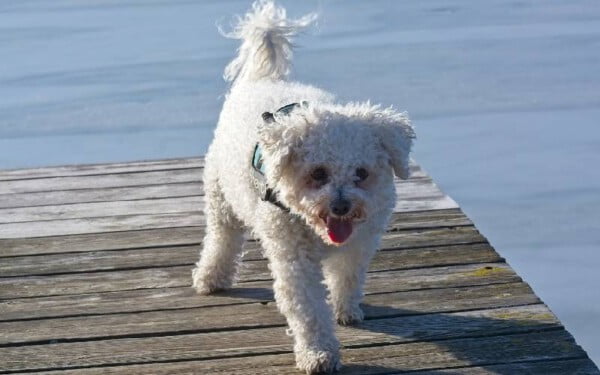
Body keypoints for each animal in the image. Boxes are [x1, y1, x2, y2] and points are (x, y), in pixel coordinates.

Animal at [193, 1, 418, 374]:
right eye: (317, 173)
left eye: (361, 173)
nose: (341, 206)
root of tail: (263, 79)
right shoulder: (294, 260)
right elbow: (309, 310)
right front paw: (318, 353)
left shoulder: (360, 243)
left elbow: (348, 277)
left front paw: (346, 310)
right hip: (220, 197)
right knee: (222, 238)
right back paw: (211, 277)